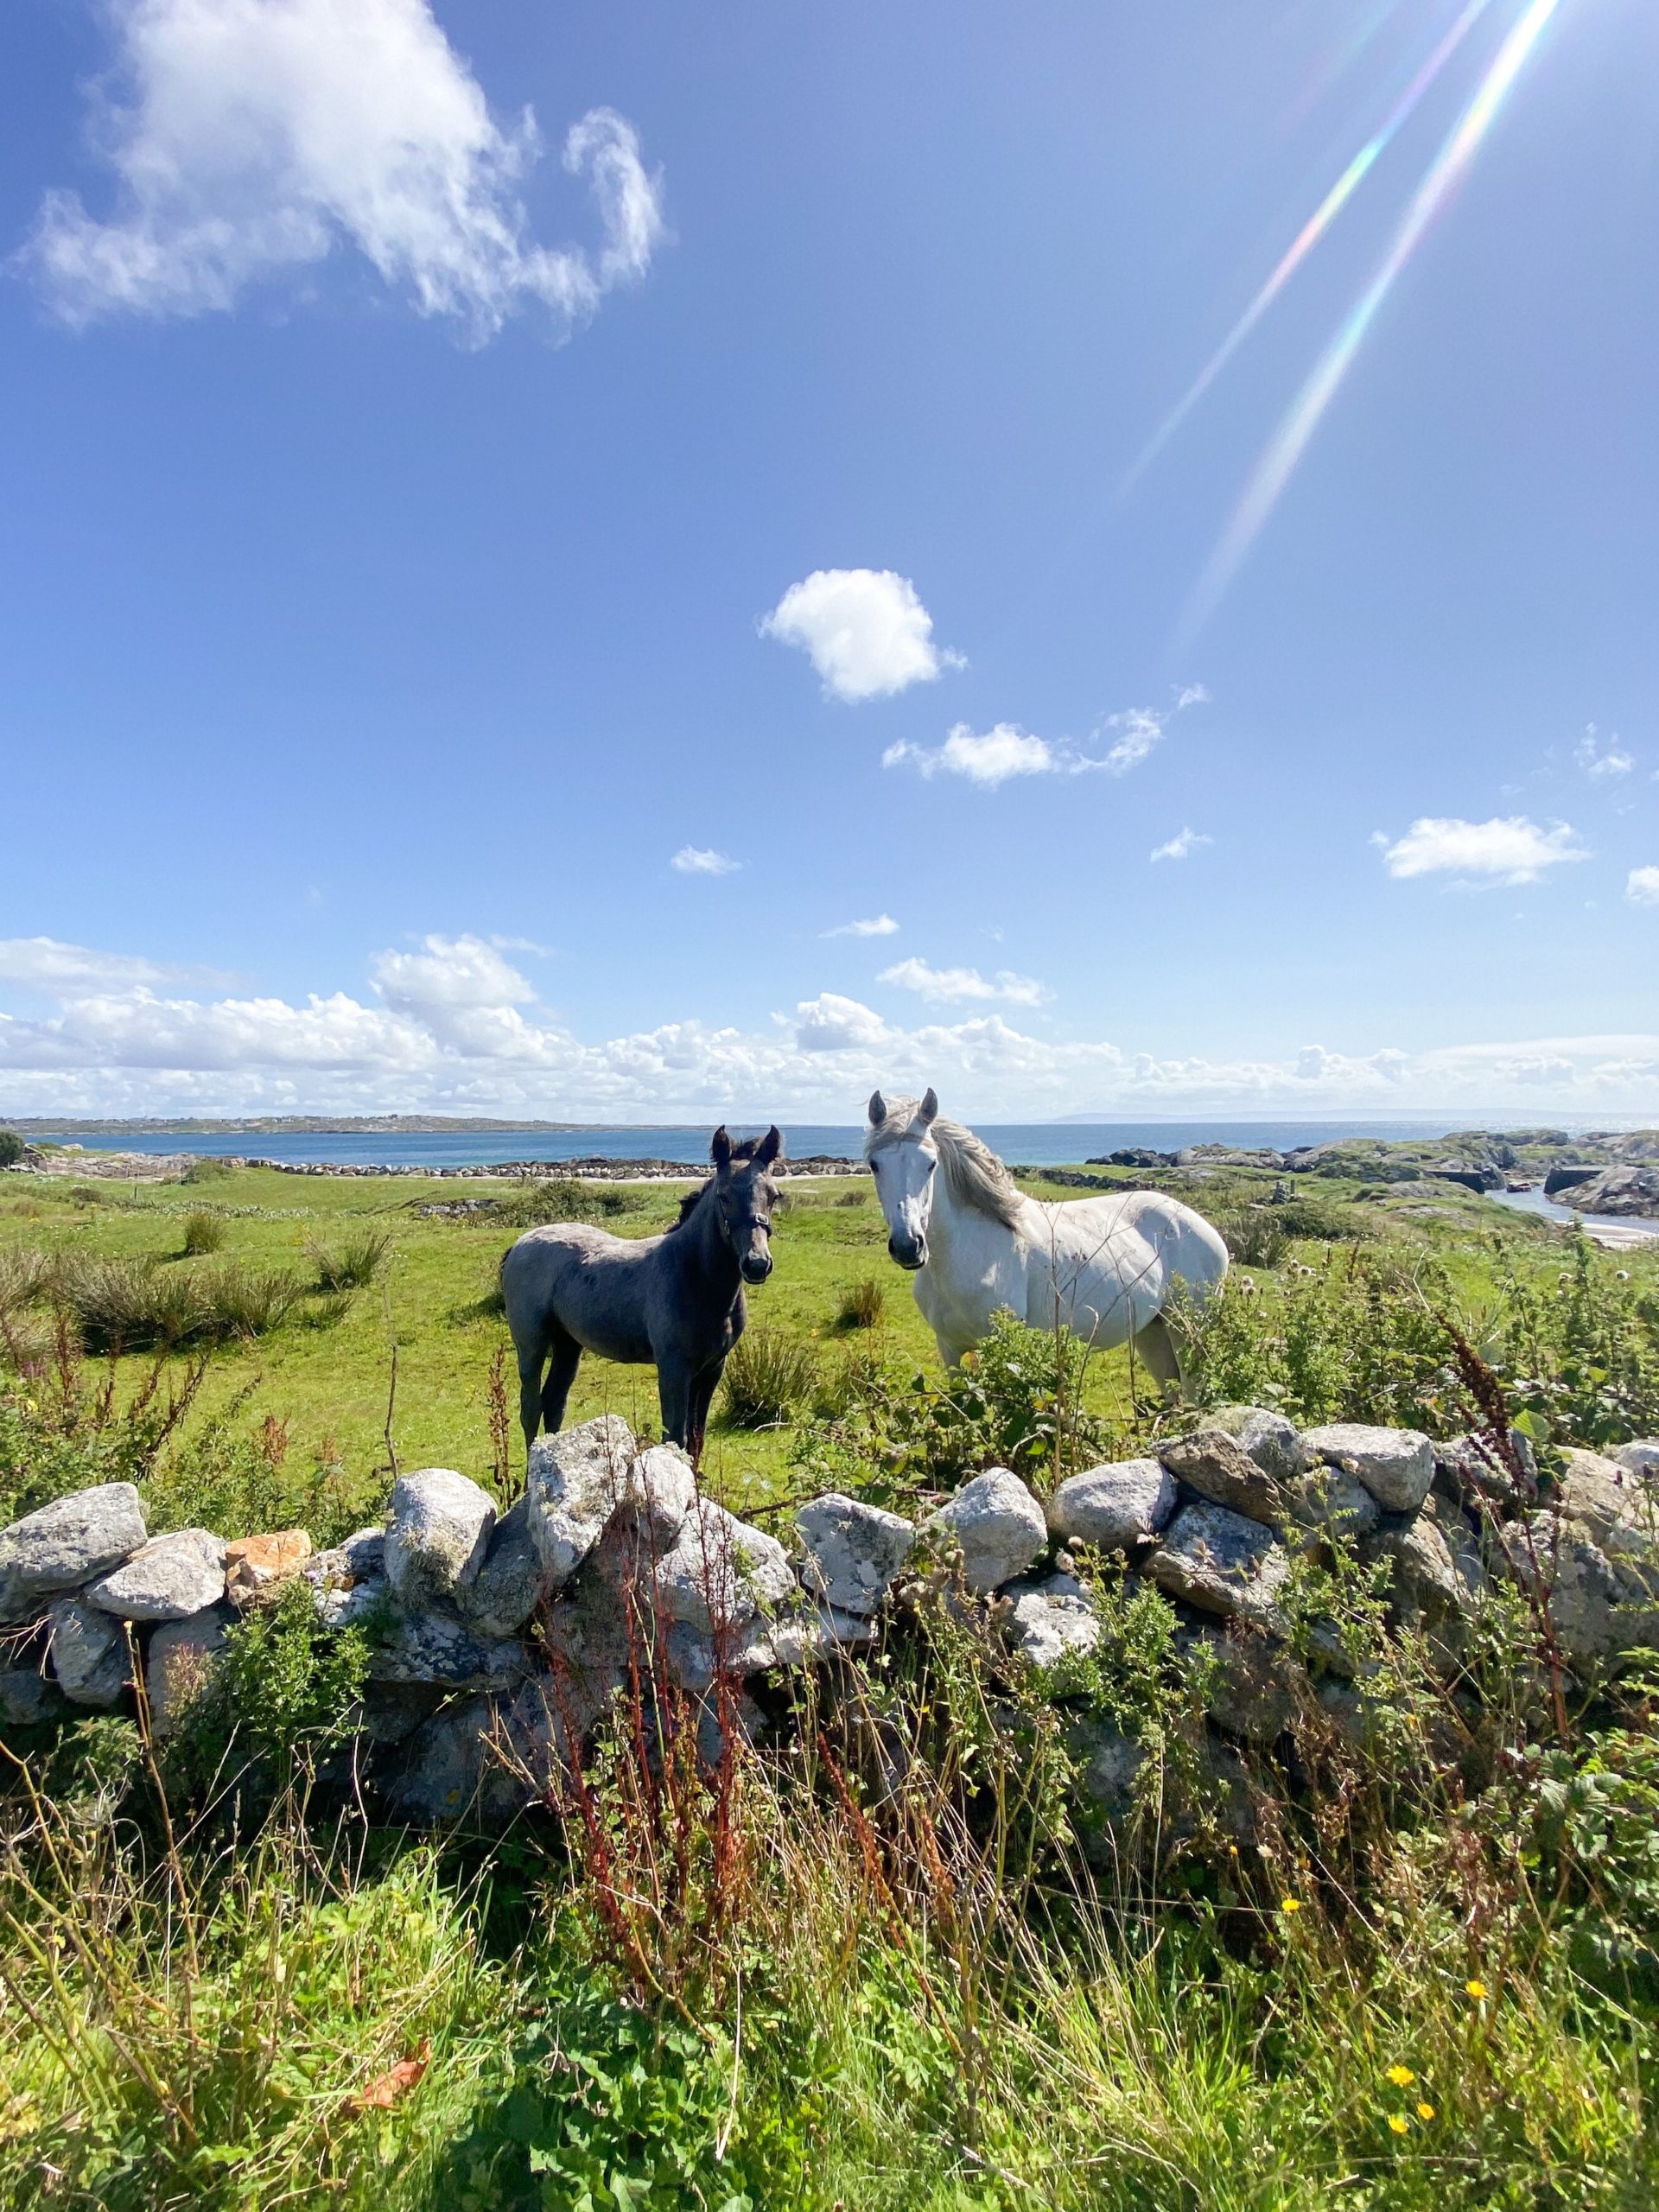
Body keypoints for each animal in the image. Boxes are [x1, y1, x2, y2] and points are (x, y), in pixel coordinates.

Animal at [501, 1125, 782, 1459]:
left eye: (774, 1196)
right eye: (724, 1196)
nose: (757, 1264)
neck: (697, 1279)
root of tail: (520, 1243)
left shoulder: (712, 1369)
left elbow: (696, 1439)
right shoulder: (674, 1367)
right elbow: (675, 1436)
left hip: (568, 1343)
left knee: (554, 1402)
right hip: (531, 1342)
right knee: (531, 1407)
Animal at [863, 1089, 1228, 1385]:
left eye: (931, 1164)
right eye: (874, 1164)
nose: (908, 1247)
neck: (971, 1251)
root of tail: (1203, 1227)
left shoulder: (1004, 1349)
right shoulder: (950, 1349)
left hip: (1186, 1332)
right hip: (1152, 1331)